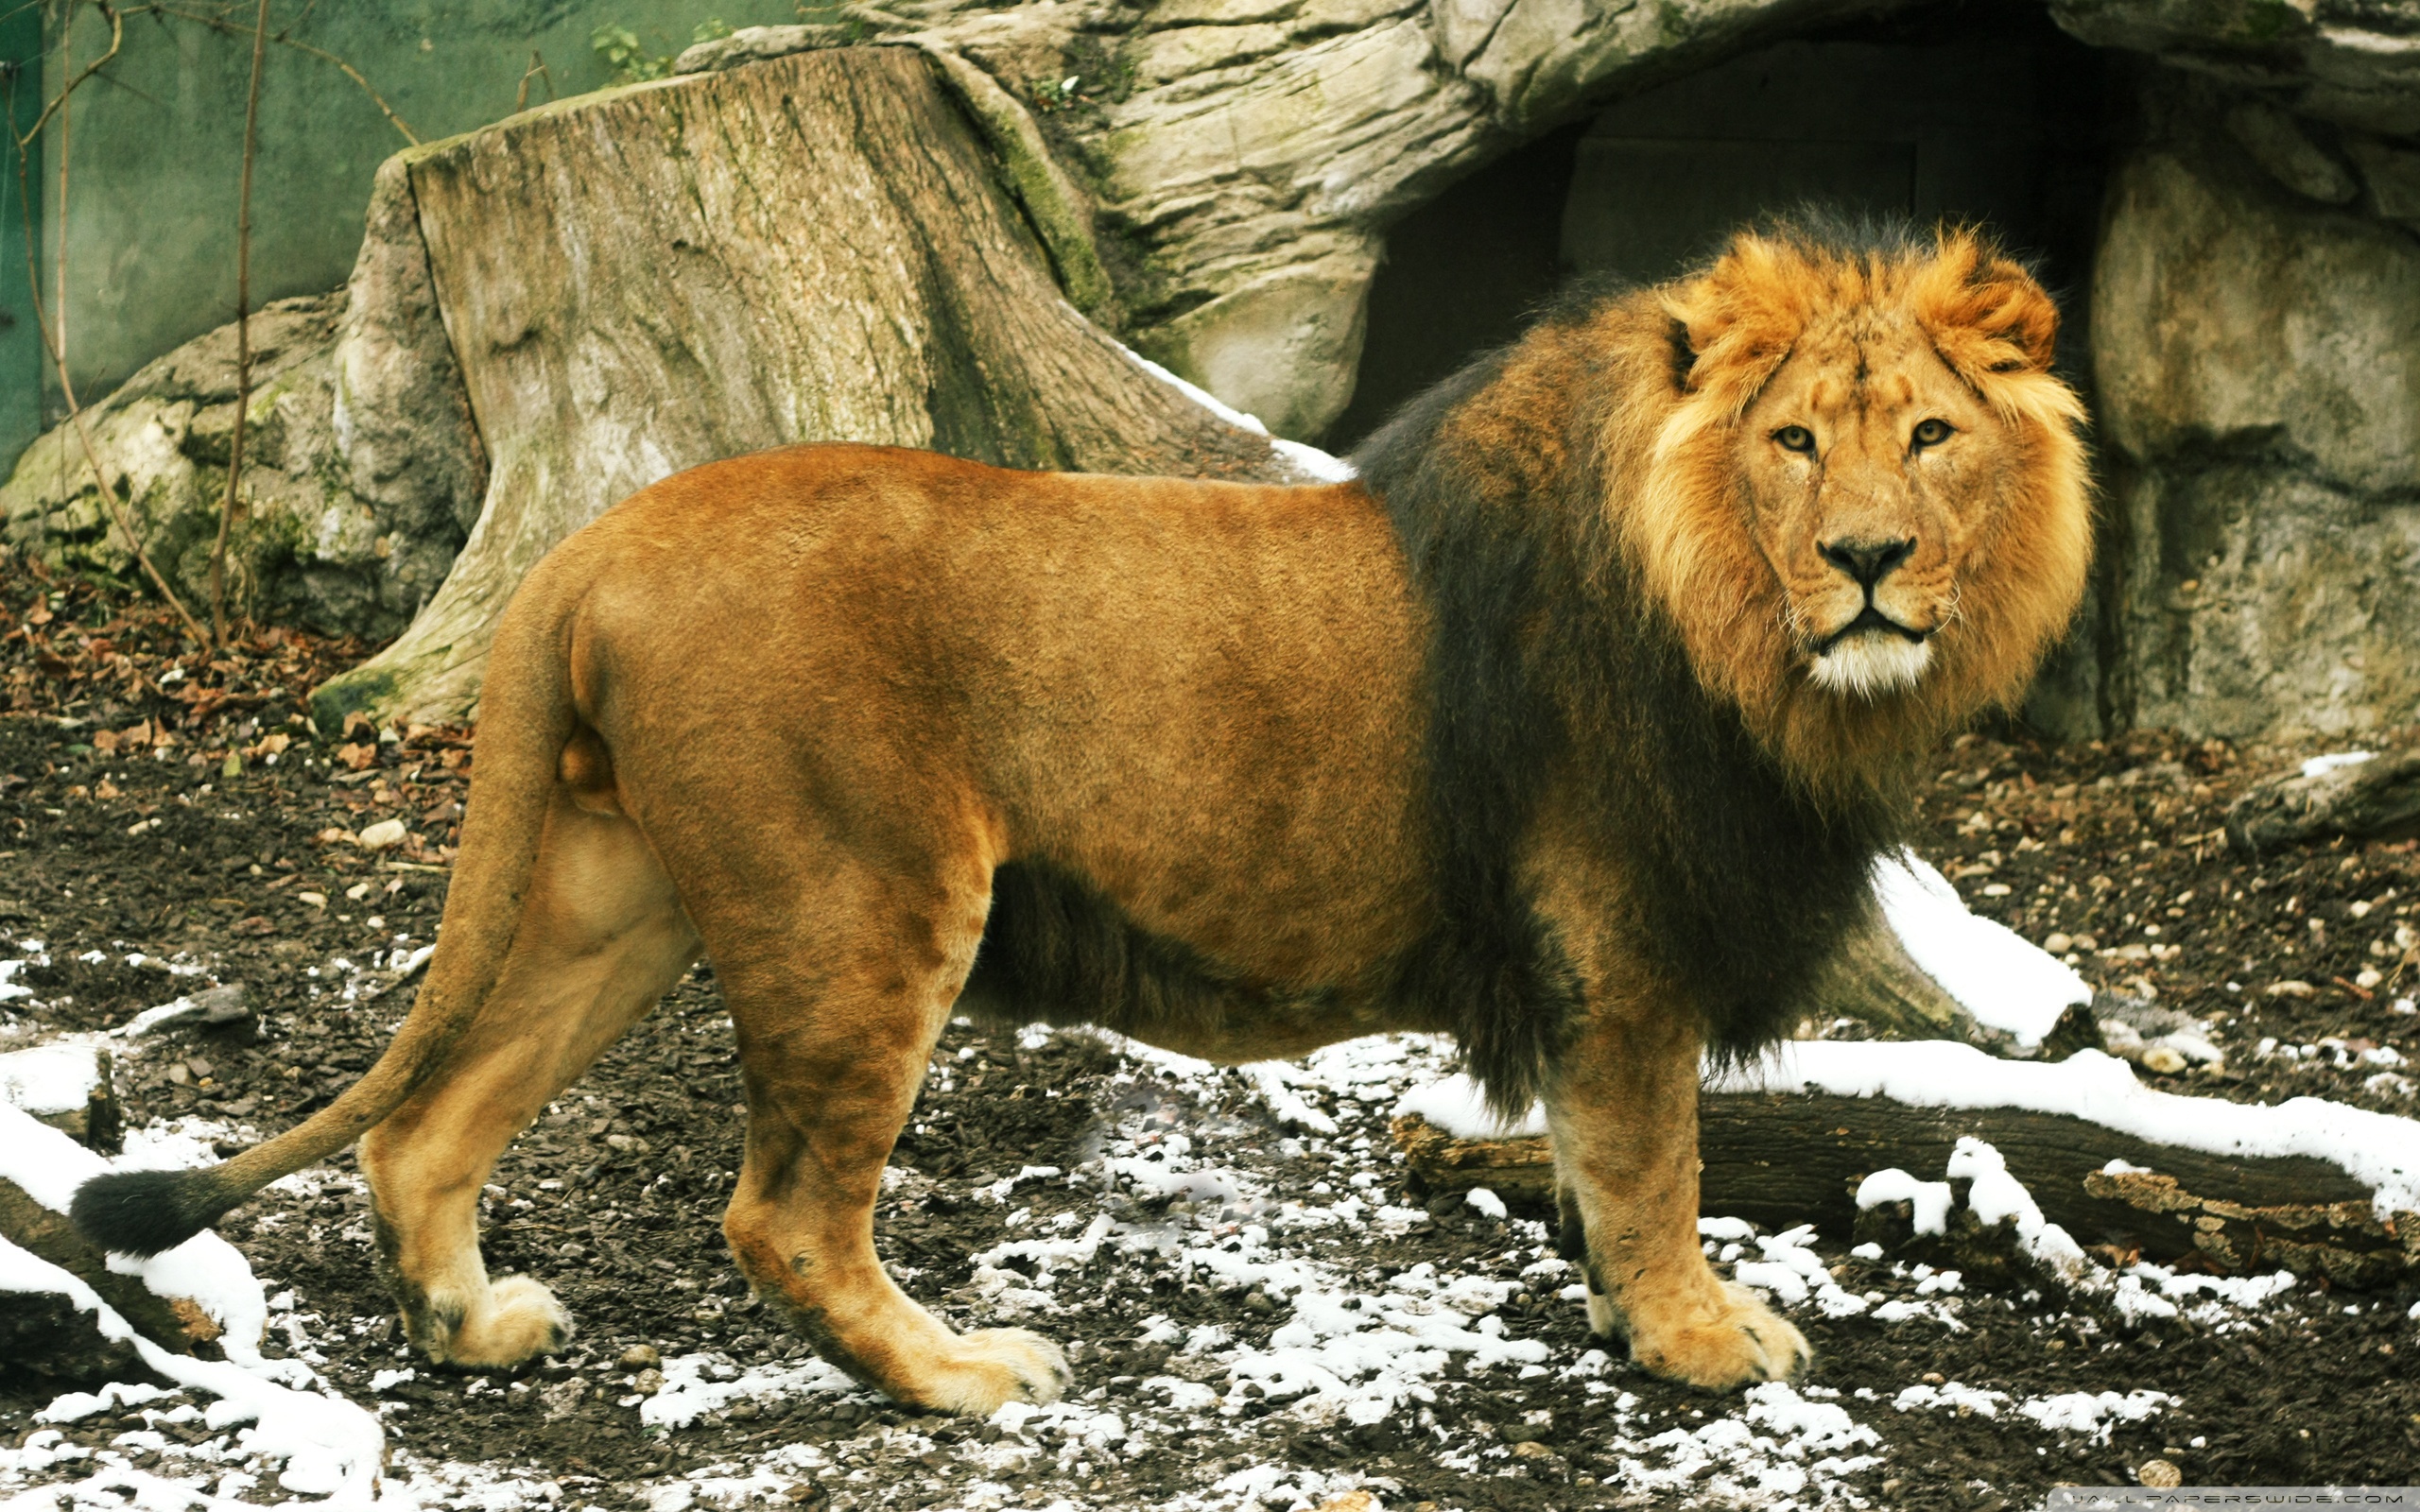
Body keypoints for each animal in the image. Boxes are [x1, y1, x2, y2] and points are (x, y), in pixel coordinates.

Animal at [73, 221, 2090, 1415]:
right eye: (1793, 443)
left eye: (1928, 437)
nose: (1870, 563)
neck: (1744, 636)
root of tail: (597, 537)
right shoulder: (1617, 928)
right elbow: (1654, 1160)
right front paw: (1700, 1346)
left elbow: (1606, 1170)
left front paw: (1631, 1319)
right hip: (863, 902)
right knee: (781, 1215)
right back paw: (959, 1375)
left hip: (616, 889)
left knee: (432, 1124)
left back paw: (469, 1325)